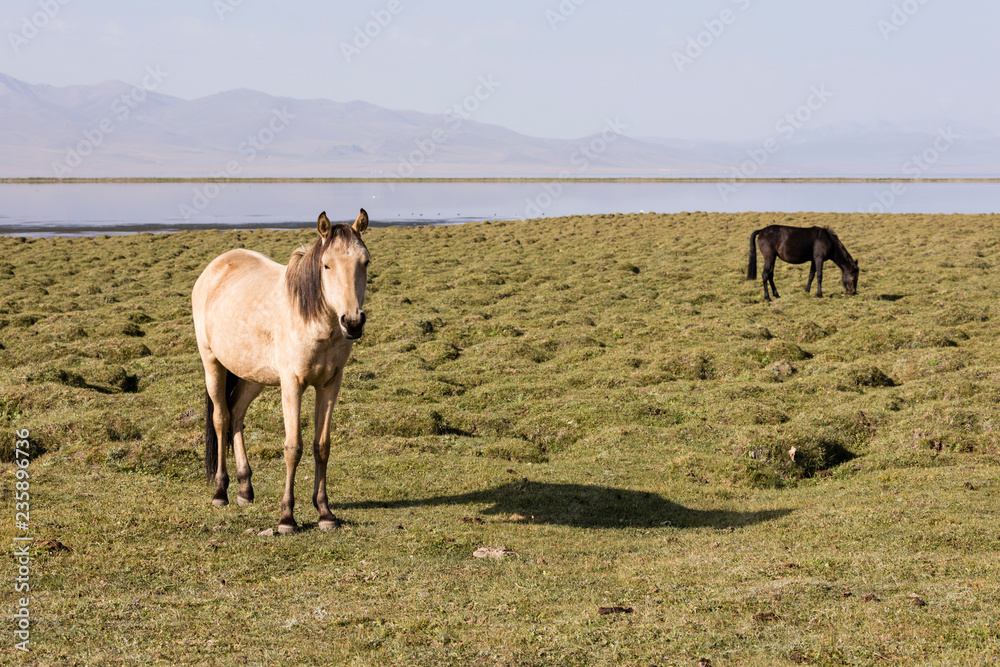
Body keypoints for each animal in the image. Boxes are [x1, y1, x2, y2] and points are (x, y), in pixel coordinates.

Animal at [192, 211, 372, 536]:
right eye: (326, 265)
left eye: (365, 262)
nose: (352, 322)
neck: (315, 320)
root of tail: (215, 266)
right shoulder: (292, 384)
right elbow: (293, 447)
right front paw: (287, 517)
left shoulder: (330, 384)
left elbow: (321, 446)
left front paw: (325, 513)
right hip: (212, 363)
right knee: (221, 419)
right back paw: (221, 491)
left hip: (252, 375)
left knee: (236, 415)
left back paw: (245, 488)